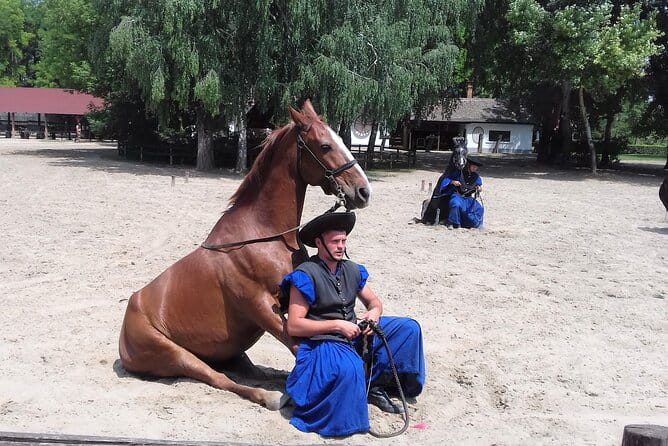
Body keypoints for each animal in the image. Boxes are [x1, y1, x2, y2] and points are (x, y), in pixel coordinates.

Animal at [118, 99, 372, 410]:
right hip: (173, 353)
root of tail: (125, 335)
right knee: (218, 378)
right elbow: (296, 344)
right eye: (325, 146)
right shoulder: (260, 306)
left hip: (226, 351)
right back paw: (270, 395)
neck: (265, 237)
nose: (363, 191)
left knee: (248, 368)